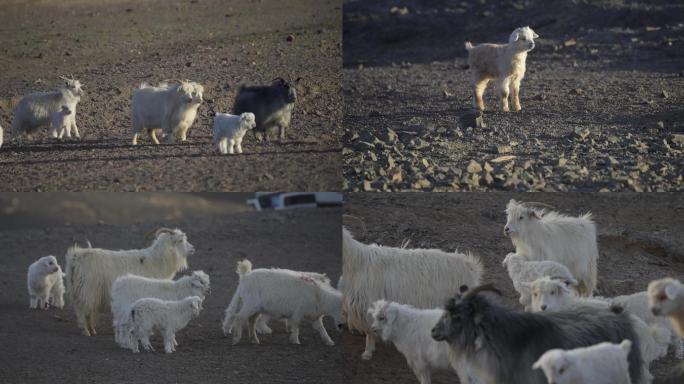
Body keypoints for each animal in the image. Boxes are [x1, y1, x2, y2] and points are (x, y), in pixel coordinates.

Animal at [65, 228, 194, 336]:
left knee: (86, 310)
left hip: (80, 290)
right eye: (181, 240)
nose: (193, 249)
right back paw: (86, 330)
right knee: (84, 310)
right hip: (87, 290)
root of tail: (76, 256)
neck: (158, 260)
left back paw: (91, 329)